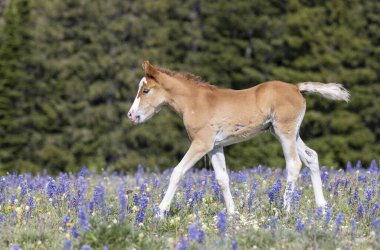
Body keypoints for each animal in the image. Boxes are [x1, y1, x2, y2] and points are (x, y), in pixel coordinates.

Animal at [128, 61, 350, 217]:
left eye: (146, 90)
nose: (131, 115)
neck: (195, 101)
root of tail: (296, 87)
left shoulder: (201, 143)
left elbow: (177, 172)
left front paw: (160, 212)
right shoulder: (215, 147)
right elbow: (222, 179)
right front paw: (232, 214)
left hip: (284, 131)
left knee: (294, 164)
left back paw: (286, 210)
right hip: (287, 132)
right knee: (311, 157)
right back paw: (322, 208)